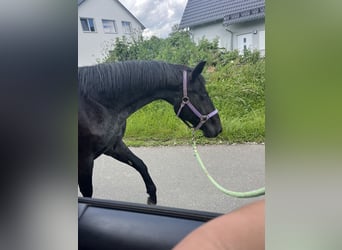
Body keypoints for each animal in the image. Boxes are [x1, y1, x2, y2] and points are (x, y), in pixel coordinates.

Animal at [78, 60, 222, 205]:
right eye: (202, 94)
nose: (218, 128)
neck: (98, 104)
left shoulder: (113, 146)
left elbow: (140, 164)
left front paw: (152, 198)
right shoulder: (85, 160)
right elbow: (87, 192)